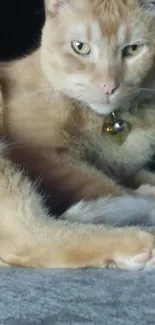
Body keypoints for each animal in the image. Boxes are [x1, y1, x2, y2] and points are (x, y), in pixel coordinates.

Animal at [0, 0, 155, 268]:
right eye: (80, 47)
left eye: (133, 49)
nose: (108, 86)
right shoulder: (42, 155)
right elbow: (98, 182)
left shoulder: (125, 167)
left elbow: (135, 174)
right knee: (31, 238)